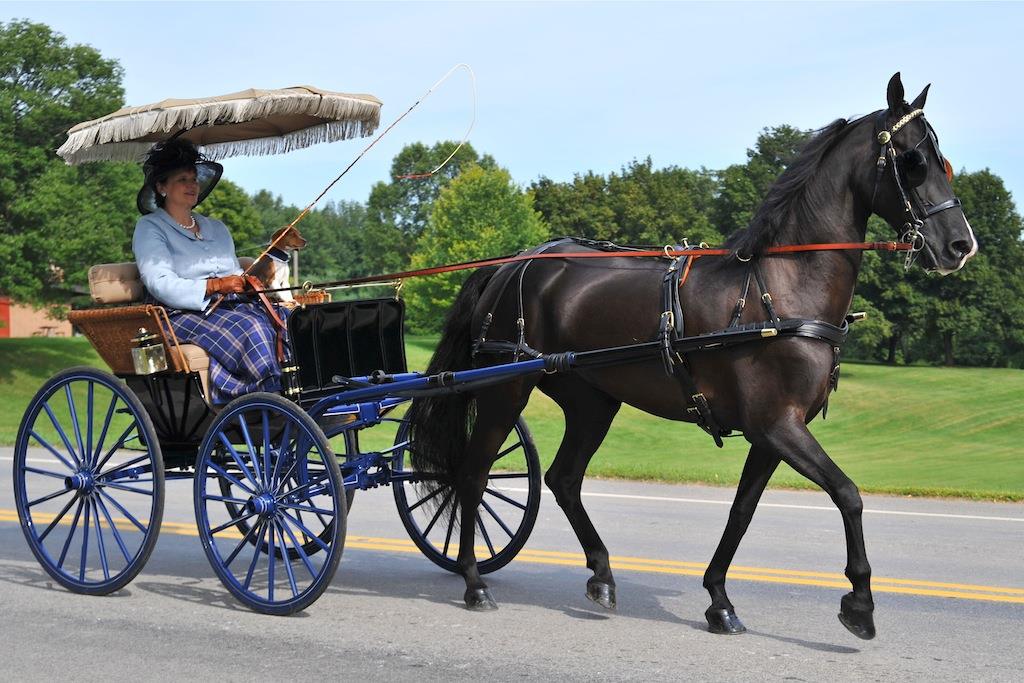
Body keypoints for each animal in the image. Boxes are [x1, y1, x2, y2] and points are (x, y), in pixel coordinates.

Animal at [405, 74, 974, 643]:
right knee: (472, 473)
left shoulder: (771, 433)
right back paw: (474, 581)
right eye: (913, 160)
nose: (959, 246)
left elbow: (742, 511)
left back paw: (601, 574)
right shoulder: (779, 426)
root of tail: (508, 266)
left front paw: (719, 599)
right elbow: (848, 493)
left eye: (942, 161)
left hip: (592, 400)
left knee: (564, 479)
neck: (781, 289)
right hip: (505, 388)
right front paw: (860, 602)